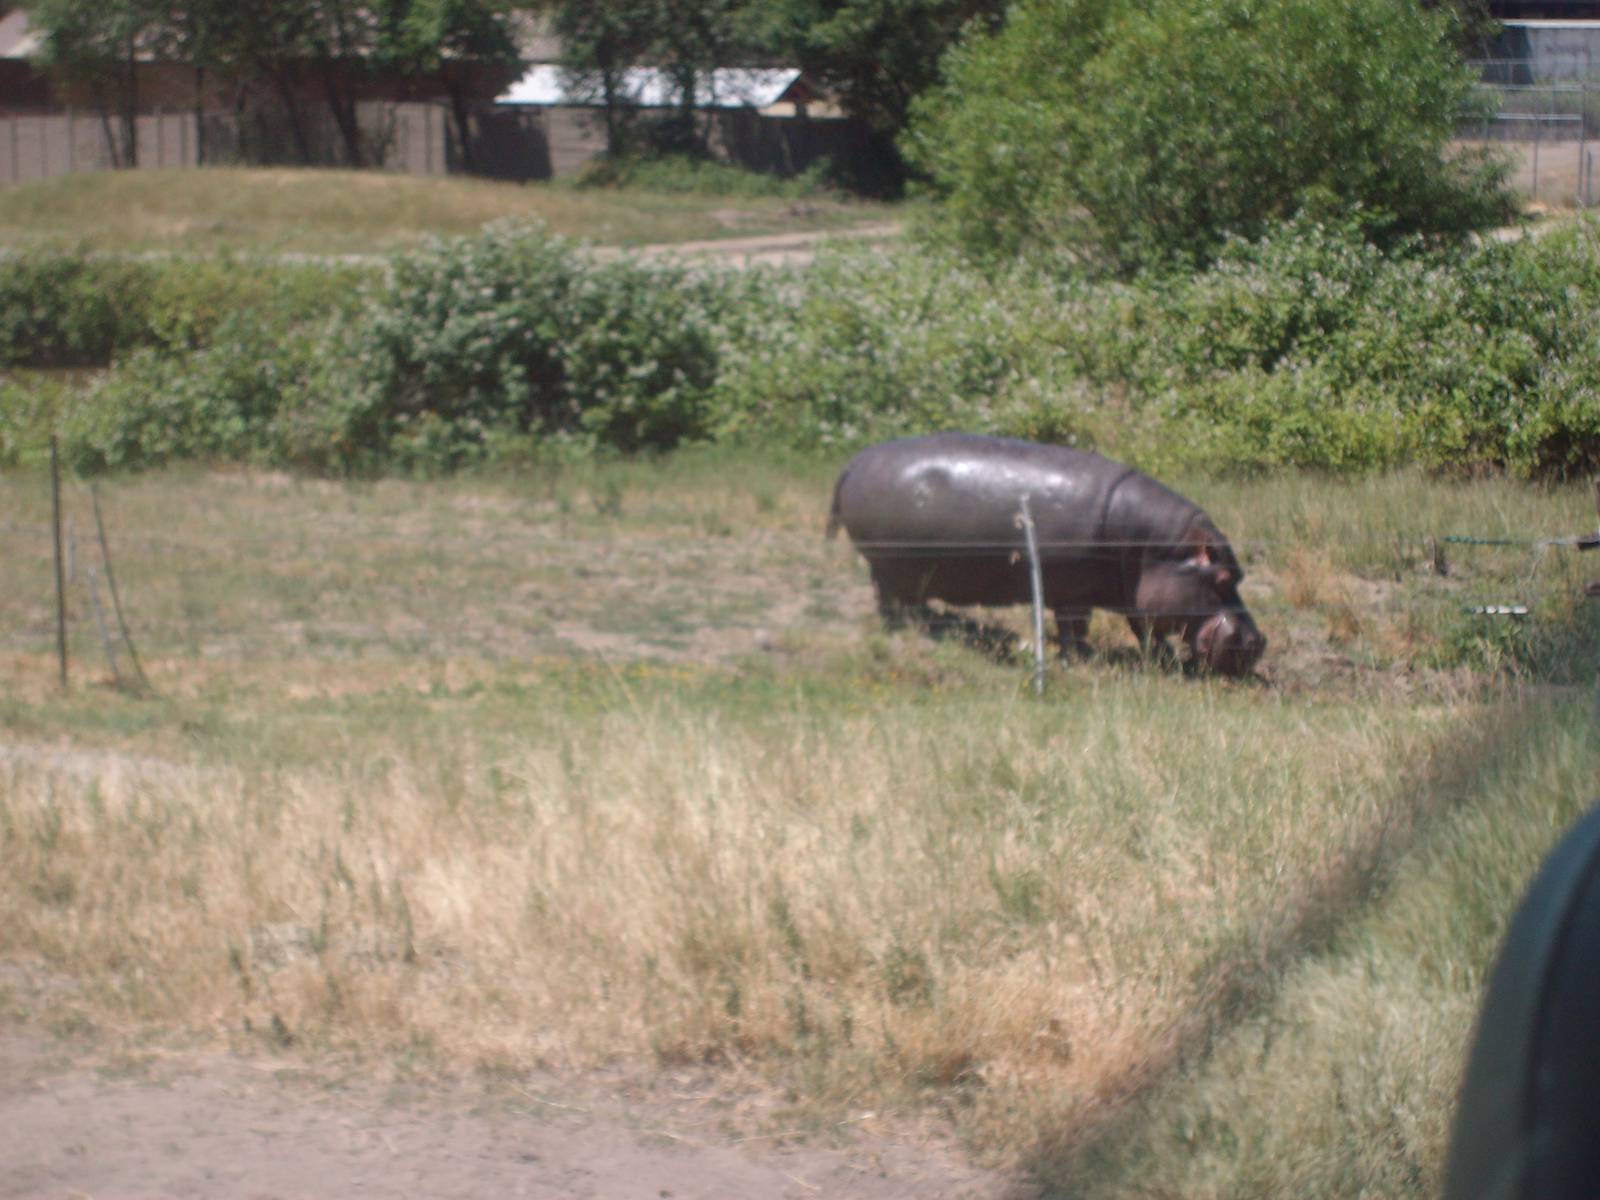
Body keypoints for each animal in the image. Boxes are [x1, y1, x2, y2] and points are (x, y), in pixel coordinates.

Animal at [826, 434, 1265, 676]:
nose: (1258, 641)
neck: (1154, 549)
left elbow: (1143, 630)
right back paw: (905, 629)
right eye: (1223, 578)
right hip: (886, 565)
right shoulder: (1073, 595)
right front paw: (1081, 659)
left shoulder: (1130, 595)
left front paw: (1159, 659)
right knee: (887, 597)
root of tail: (853, 462)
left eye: (1239, 575)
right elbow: (1075, 629)